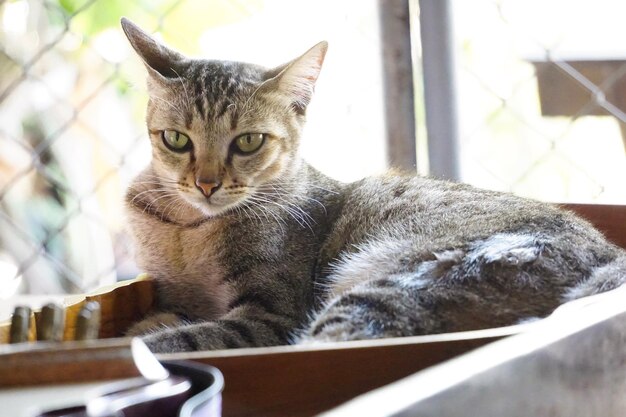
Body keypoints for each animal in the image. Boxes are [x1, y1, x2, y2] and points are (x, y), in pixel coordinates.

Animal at [120, 18, 624, 352]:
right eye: (176, 139)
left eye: (248, 141)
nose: (205, 184)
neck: (187, 231)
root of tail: (610, 253)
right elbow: (167, 318)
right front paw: (149, 322)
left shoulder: (269, 318)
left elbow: (176, 341)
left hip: (390, 289)